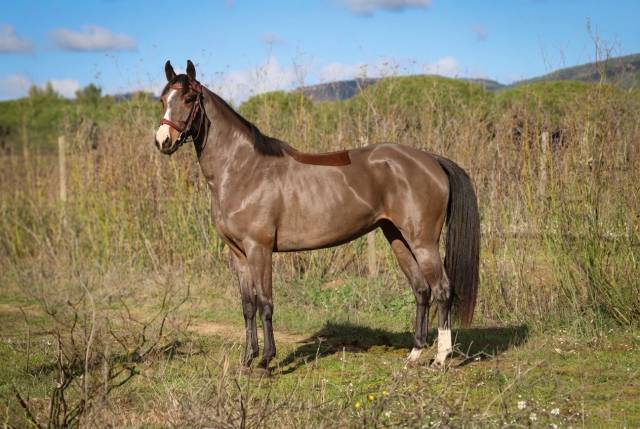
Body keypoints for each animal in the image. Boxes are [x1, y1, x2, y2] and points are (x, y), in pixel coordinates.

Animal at [154, 60, 480, 374]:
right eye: (163, 99)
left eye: (189, 98)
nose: (163, 141)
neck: (243, 169)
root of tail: (431, 160)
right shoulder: (238, 254)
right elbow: (247, 306)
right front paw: (246, 361)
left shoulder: (259, 249)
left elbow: (265, 303)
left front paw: (265, 362)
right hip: (398, 238)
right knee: (421, 290)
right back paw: (414, 355)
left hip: (423, 242)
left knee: (442, 290)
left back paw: (440, 359)